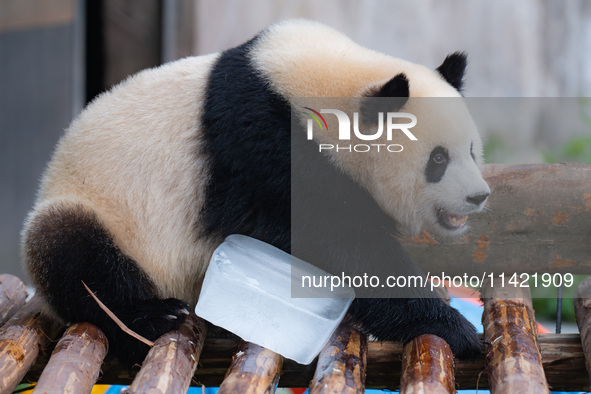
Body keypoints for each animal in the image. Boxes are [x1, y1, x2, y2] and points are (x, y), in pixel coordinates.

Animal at [23, 17, 490, 364]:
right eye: (437, 160)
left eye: (471, 150)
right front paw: (455, 328)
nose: (478, 196)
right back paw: (153, 316)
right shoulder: (263, 146)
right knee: (75, 254)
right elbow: (340, 243)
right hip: (97, 209)